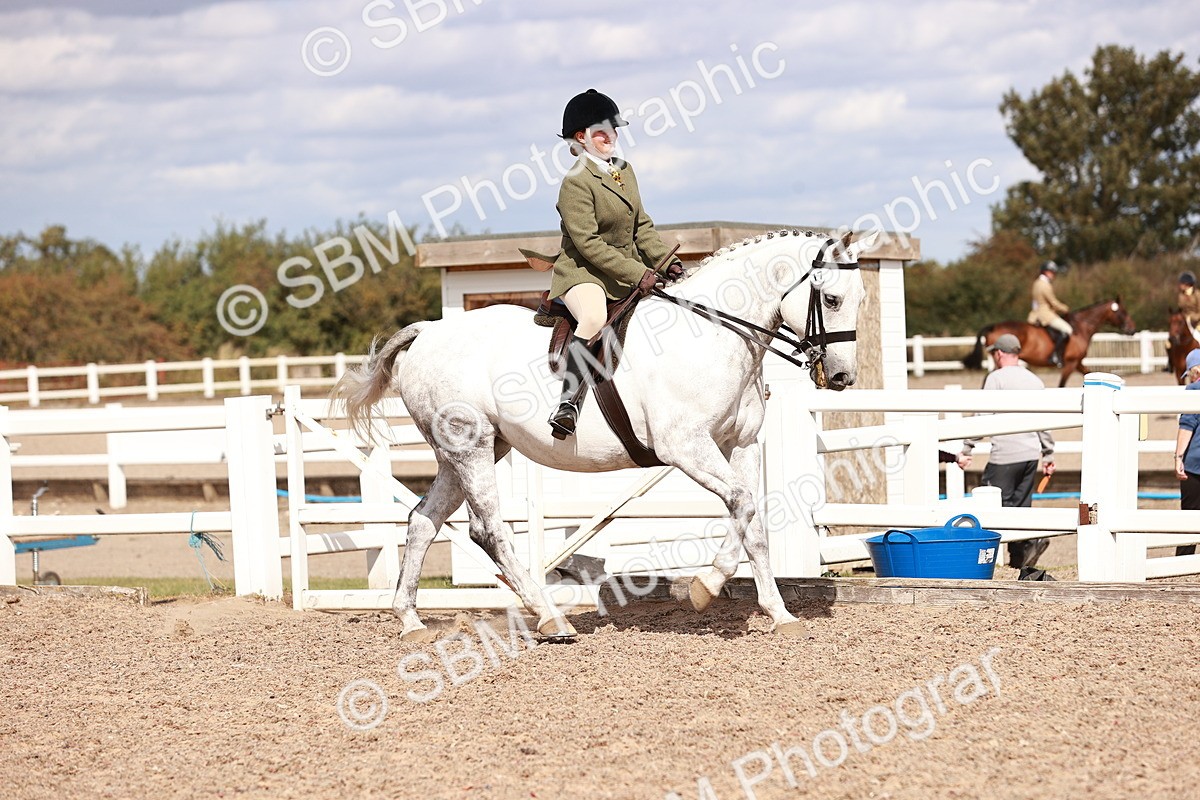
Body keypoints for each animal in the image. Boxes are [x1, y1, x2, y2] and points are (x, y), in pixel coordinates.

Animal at [333, 228, 877, 641]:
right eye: (831, 299)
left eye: (860, 300)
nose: (843, 377)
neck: (714, 336)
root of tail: (427, 332)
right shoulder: (686, 448)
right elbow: (742, 505)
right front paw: (711, 589)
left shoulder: (737, 445)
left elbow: (752, 520)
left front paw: (774, 611)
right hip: (471, 447)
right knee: (488, 530)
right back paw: (551, 619)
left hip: (465, 451)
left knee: (422, 521)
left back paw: (411, 621)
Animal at [962, 299, 1137, 387]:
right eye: (1123, 312)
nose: (1132, 329)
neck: (1080, 328)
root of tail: (993, 326)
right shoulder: (1070, 364)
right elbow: (1061, 385)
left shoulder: (1078, 363)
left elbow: (1088, 372)